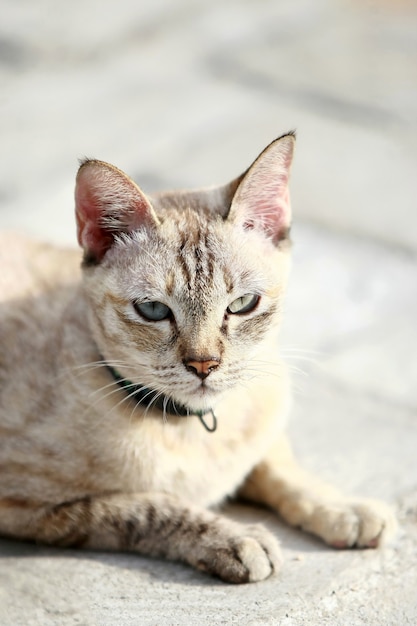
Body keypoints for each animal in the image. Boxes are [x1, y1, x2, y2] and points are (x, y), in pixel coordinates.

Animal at [0, 130, 394, 580]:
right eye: (153, 310)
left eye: (242, 304)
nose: (204, 365)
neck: (194, 427)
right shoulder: (33, 509)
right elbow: (146, 507)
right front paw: (235, 537)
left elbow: (280, 468)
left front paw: (344, 507)